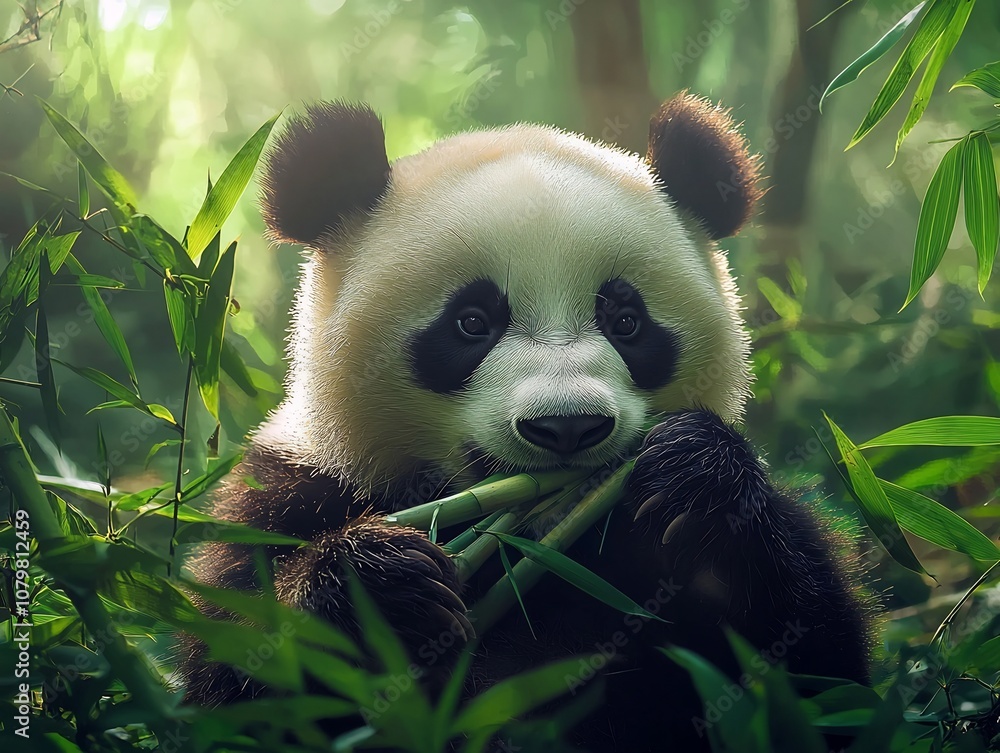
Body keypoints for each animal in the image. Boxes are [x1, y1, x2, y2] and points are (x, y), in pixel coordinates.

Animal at [180, 92, 873, 752]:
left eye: (626, 321)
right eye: (472, 322)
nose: (567, 427)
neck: (538, 542)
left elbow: (816, 674)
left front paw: (698, 475)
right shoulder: (291, 492)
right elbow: (246, 685)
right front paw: (379, 581)